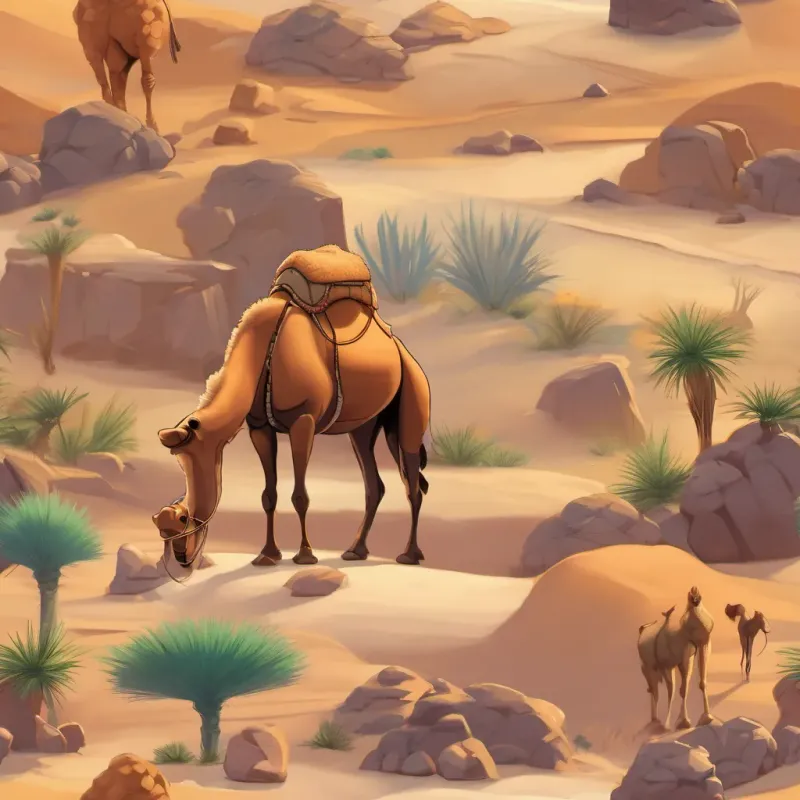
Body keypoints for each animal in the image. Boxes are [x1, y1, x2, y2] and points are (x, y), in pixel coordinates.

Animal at [151, 245, 431, 575]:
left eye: (182, 518)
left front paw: (305, 555)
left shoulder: (303, 419)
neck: (260, 350)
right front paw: (266, 555)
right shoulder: (259, 426)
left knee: (412, 480)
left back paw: (409, 554)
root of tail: (401, 348)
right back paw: (355, 550)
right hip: (365, 425)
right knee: (375, 482)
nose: (182, 555)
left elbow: (300, 495)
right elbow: (268, 494)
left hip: (412, 392)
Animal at [637, 586, 716, 730]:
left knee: (665, 690)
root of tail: (641, 631)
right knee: (655, 690)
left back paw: (660, 722)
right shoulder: (686, 654)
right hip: (648, 666)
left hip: (665, 667)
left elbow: (701, 683)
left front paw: (706, 717)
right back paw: (657, 722)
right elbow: (683, 689)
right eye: (691, 596)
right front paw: (683, 722)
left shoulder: (703, 645)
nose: (695, 592)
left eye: (699, 596)